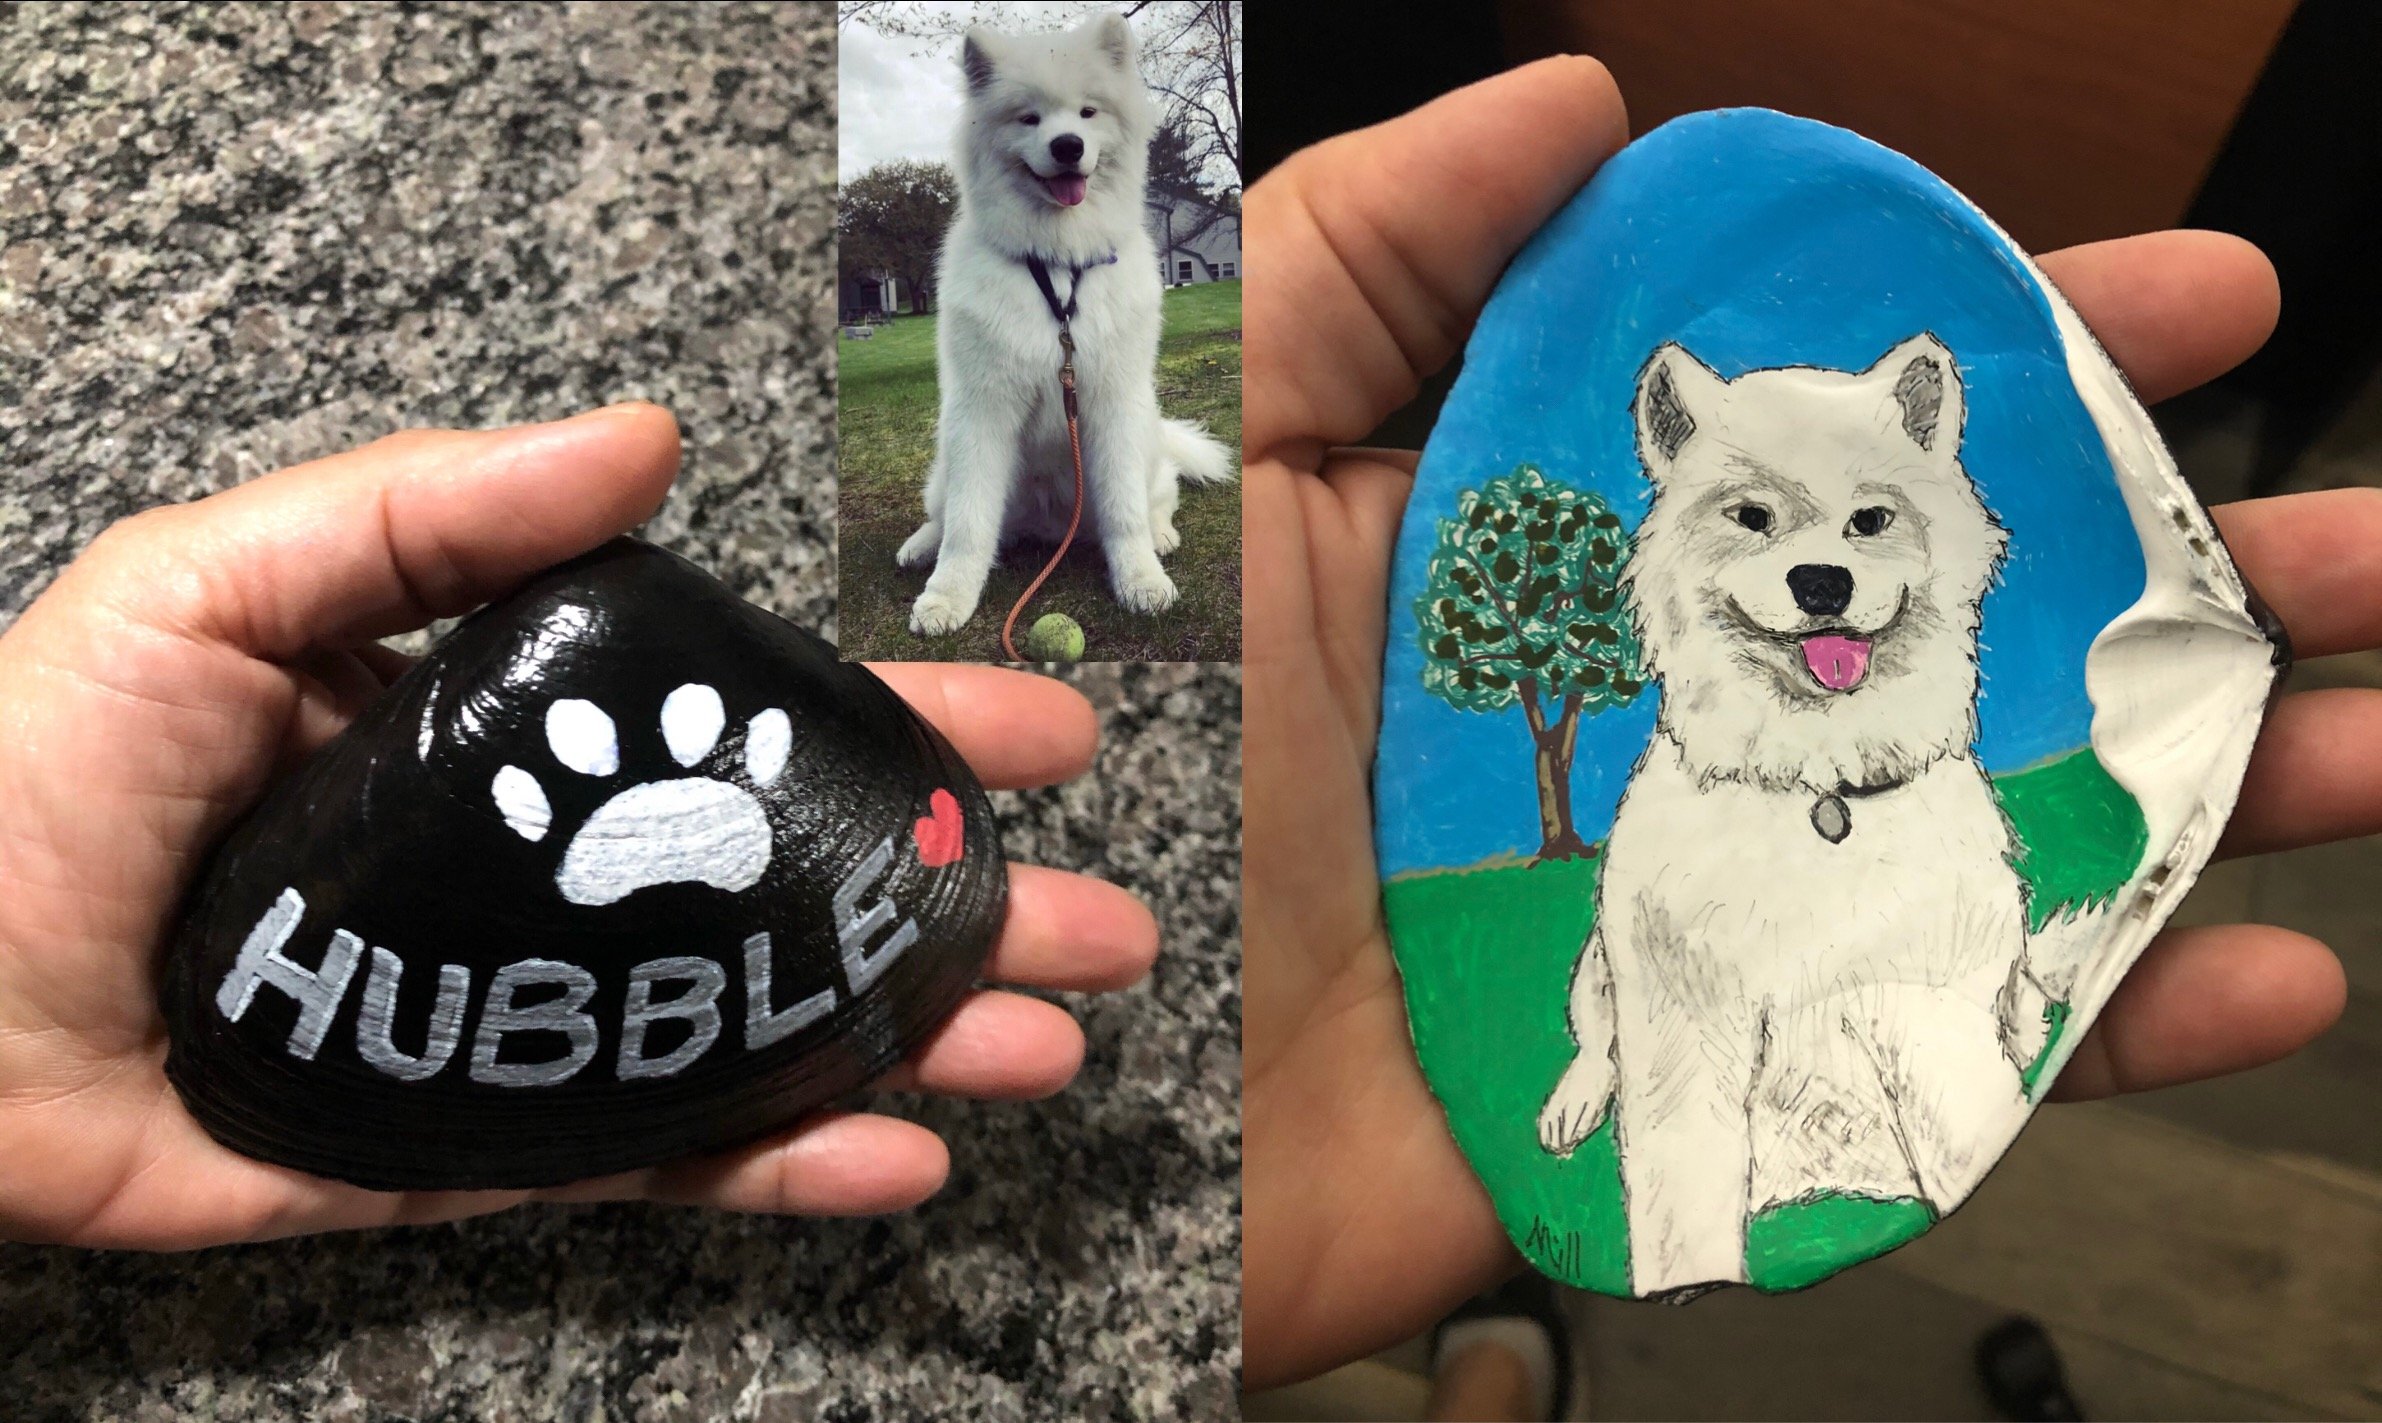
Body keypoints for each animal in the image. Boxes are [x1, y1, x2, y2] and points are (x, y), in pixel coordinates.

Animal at [895, 11, 1229, 634]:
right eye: (1029, 118)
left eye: (1088, 113)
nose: (1068, 145)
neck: (1056, 258)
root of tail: (1050, 529)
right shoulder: (982, 412)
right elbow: (968, 524)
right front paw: (947, 597)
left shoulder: (1113, 404)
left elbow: (1124, 513)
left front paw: (1141, 581)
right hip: (945, 457)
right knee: (944, 512)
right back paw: (920, 545)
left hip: (1149, 440)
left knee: (1157, 499)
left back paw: (1162, 536)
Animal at [1543, 336, 2029, 1296]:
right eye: (1751, 516)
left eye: (1871, 521)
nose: (1821, 582)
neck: (1818, 785)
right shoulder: (1686, 1021)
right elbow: (1679, 1193)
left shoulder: (1920, 1001)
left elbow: (1964, 1121)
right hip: (1600, 956)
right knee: (1593, 1032)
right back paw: (1570, 1105)